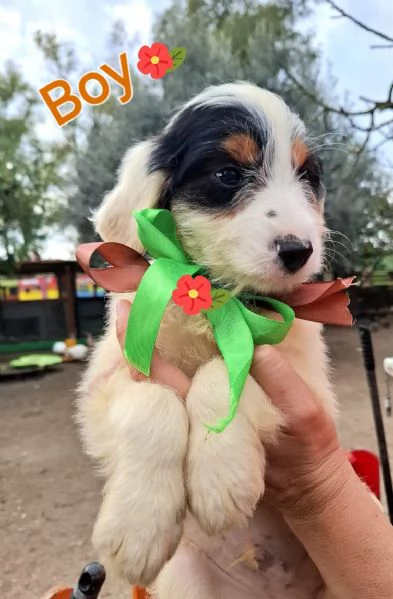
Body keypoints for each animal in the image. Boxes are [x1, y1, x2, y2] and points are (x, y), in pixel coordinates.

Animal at [77, 81, 336, 599]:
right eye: (227, 174)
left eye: (307, 176)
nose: (299, 250)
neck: (217, 303)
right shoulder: (105, 381)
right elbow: (152, 402)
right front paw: (137, 526)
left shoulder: (304, 379)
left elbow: (225, 372)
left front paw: (221, 478)